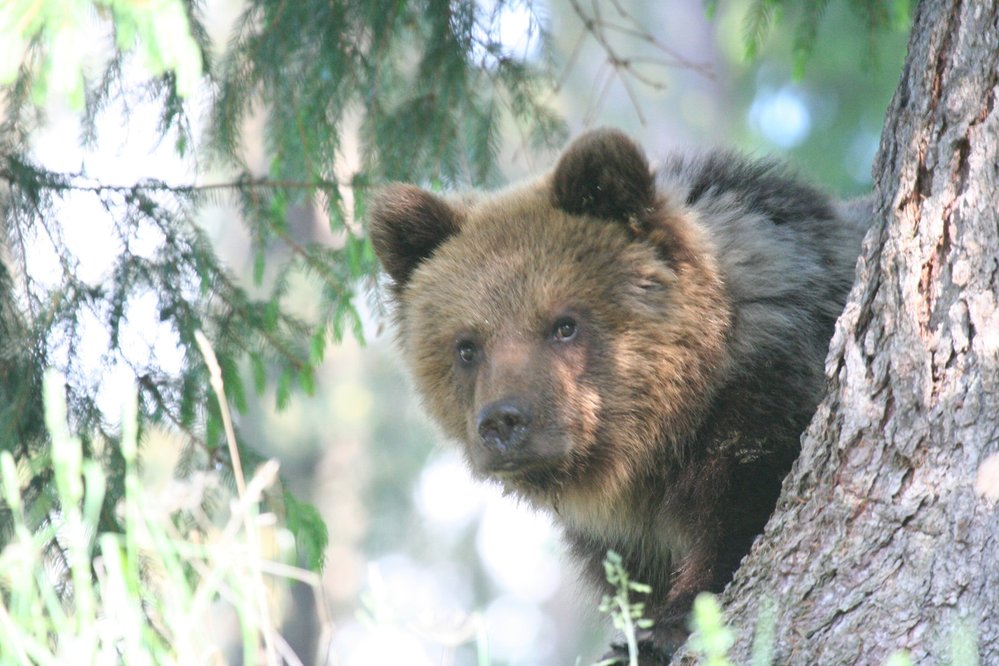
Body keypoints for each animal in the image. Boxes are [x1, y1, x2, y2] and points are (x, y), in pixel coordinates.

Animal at [370, 127, 876, 656]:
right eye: (467, 346)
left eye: (564, 324)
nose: (503, 422)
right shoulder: (625, 532)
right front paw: (637, 636)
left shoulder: (768, 394)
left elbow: (744, 511)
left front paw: (677, 619)